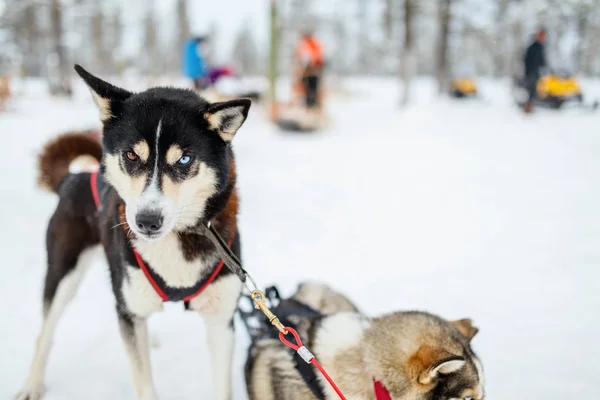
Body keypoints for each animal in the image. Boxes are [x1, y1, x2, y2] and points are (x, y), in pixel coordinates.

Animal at [16, 65, 251, 400]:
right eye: (130, 155)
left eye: (184, 158)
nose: (147, 221)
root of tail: (72, 178)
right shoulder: (128, 312)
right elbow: (144, 383)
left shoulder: (221, 321)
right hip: (63, 274)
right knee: (45, 332)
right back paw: (32, 385)